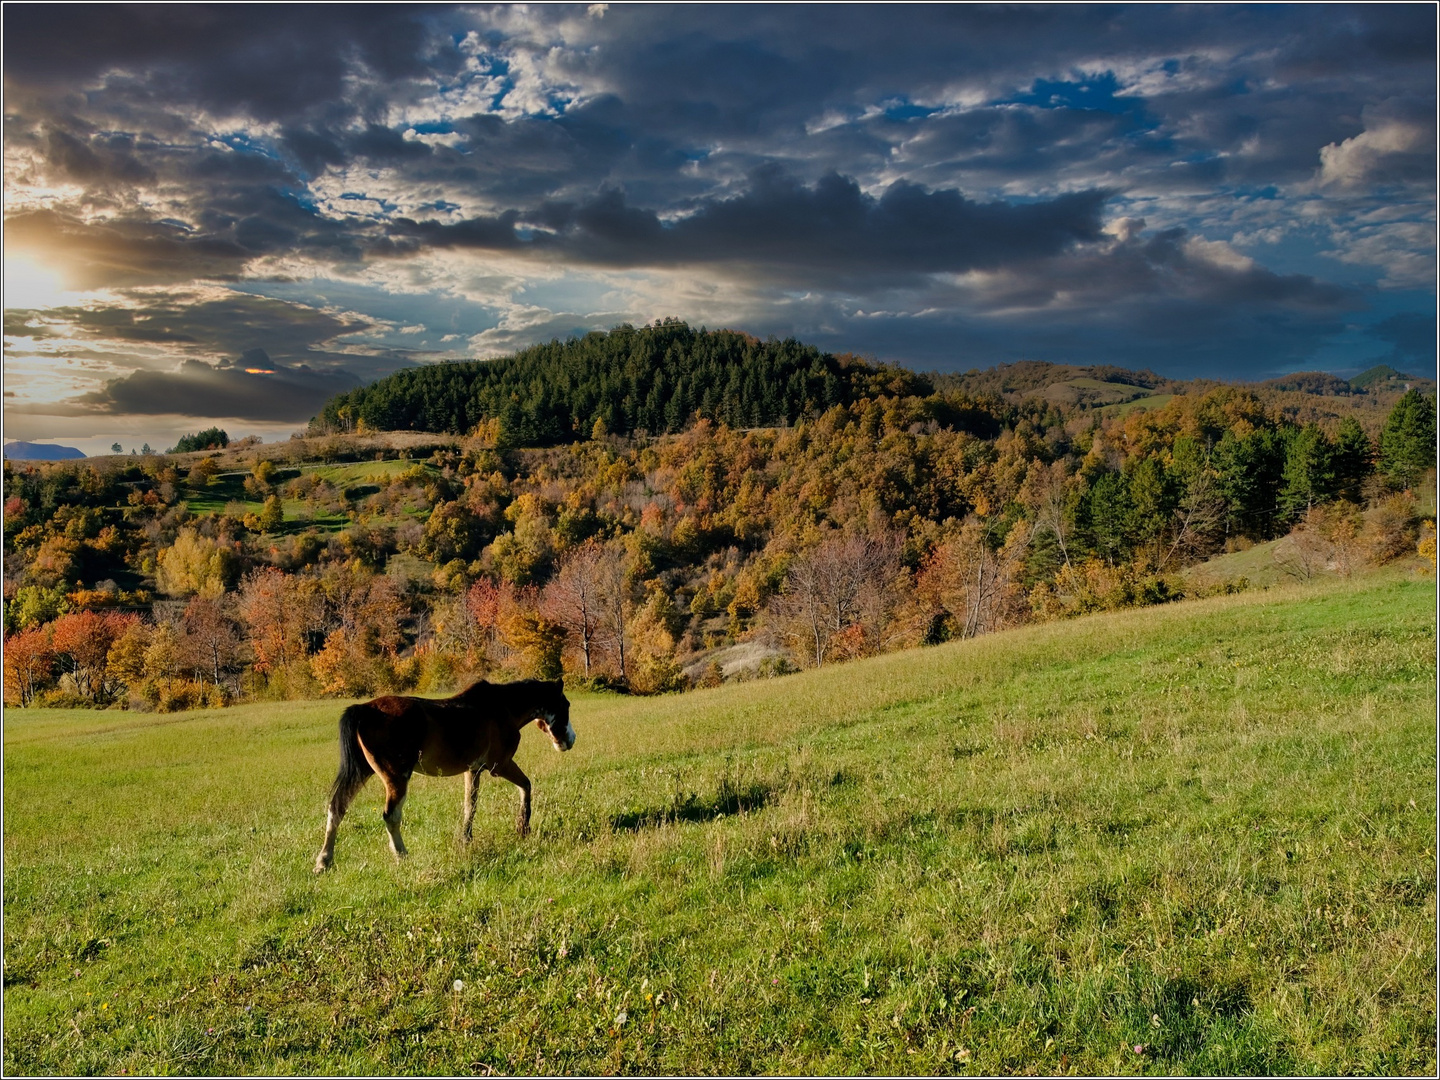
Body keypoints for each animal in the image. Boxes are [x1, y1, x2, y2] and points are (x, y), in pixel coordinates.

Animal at [313, 679, 573, 875]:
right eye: (566, 705)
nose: (569, 740)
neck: (502, 707)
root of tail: (364, 709)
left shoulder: (473, 770)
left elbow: (470, 806)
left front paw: (466, 839)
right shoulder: (500, 765)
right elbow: (526, 786)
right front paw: (523, 827)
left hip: (363, 772)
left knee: (337, 808)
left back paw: (324, 861)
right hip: (396, 778)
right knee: (390, 816)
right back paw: (401, 855)